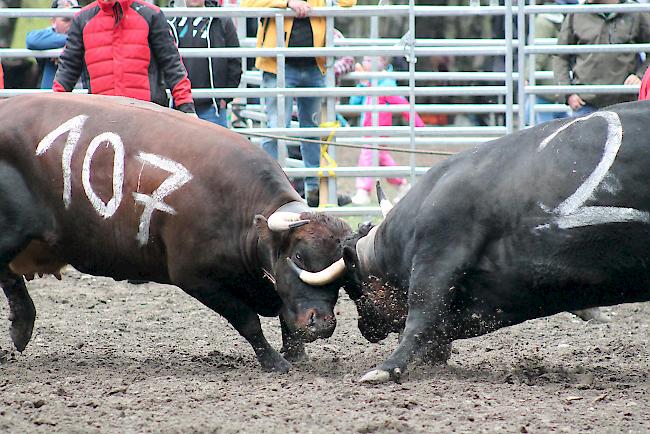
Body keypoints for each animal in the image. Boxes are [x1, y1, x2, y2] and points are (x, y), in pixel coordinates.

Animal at [0, 93, 350, 372]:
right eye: (299, 255)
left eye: (342, 273)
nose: (322, 323)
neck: (241, 212)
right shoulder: (196, 277)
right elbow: (248, 320)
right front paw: (275, 362)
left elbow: (286, 317)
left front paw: (296, 354)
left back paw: (22, 326)